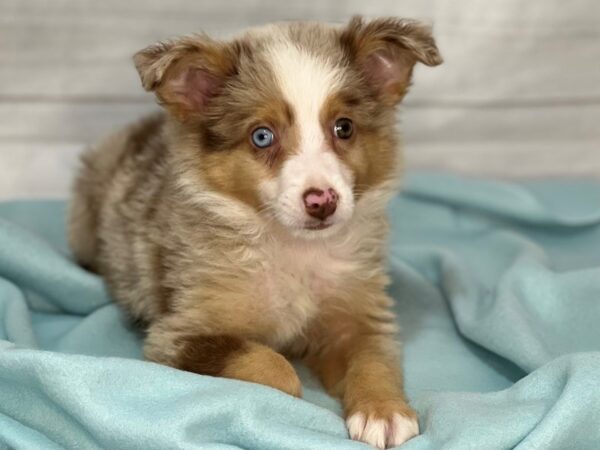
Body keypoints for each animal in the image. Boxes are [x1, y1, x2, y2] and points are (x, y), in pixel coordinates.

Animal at [68, 15, 442, 448]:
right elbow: (270, 364)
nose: (322, 202)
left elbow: (373, 360)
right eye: (262, 136)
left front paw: (384, 411)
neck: (292, 247)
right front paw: (292, 394)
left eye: (344, 128)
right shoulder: (180, 333)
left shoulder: (358, 314)